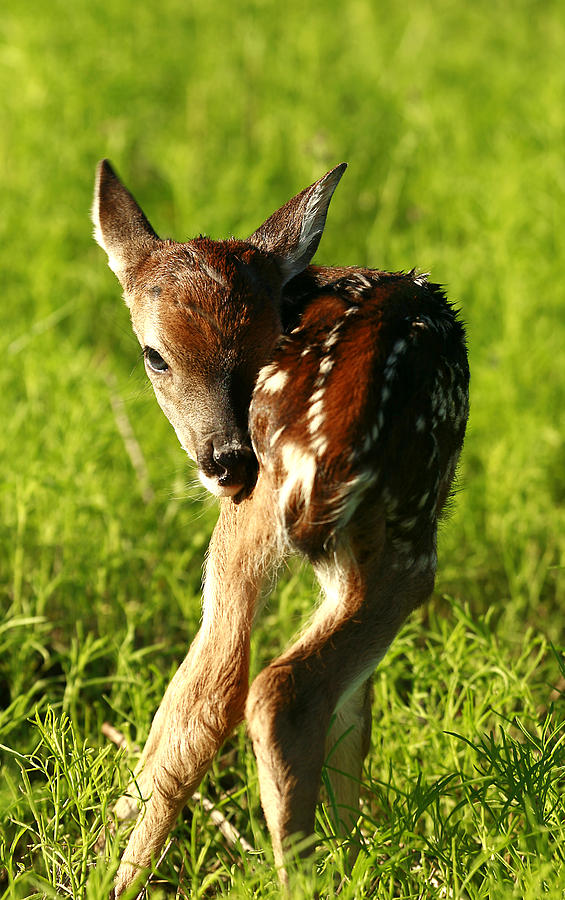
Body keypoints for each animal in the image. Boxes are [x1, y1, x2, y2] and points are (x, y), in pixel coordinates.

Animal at [92, 158, 470, 896]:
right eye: (155, 355)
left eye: (266, 337)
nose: (226, 459)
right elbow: (356, 709)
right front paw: (362, 848)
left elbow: (350, 712)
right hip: (406, 536)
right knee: (274, 690)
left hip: (274, 522)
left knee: (217, 689)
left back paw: (111, 867)